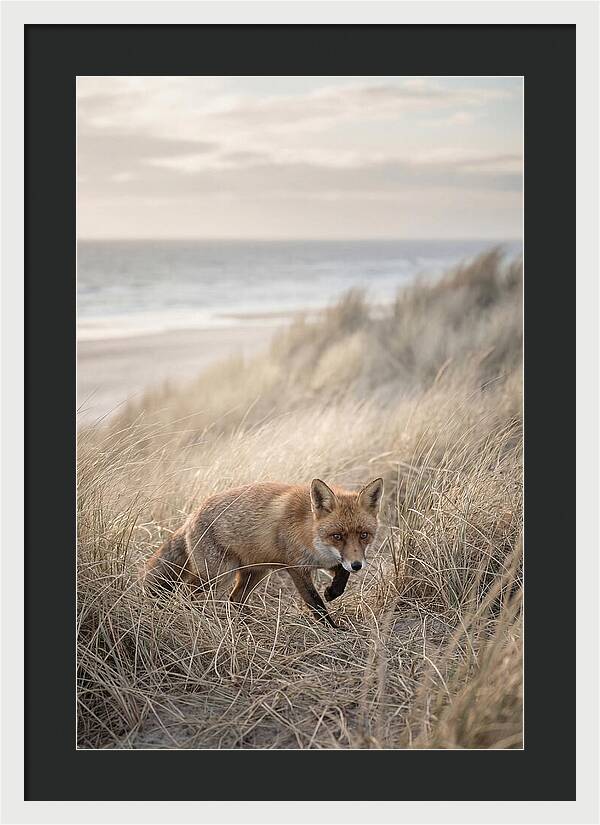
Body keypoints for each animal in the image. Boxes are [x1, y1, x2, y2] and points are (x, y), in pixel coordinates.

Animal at [144, 476, 384, 628]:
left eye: (364, 535)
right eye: (337, 536)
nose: (357, 566)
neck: (310, 532)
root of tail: (191, 516)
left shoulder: (329, 561)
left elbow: (341, 576)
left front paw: (332, 592)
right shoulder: (296, 568)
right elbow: (315, 603)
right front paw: (333, 629)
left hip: (255, 572)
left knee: (235, 598)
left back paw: (249, 623)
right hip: (218, 576)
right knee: (187, 593)